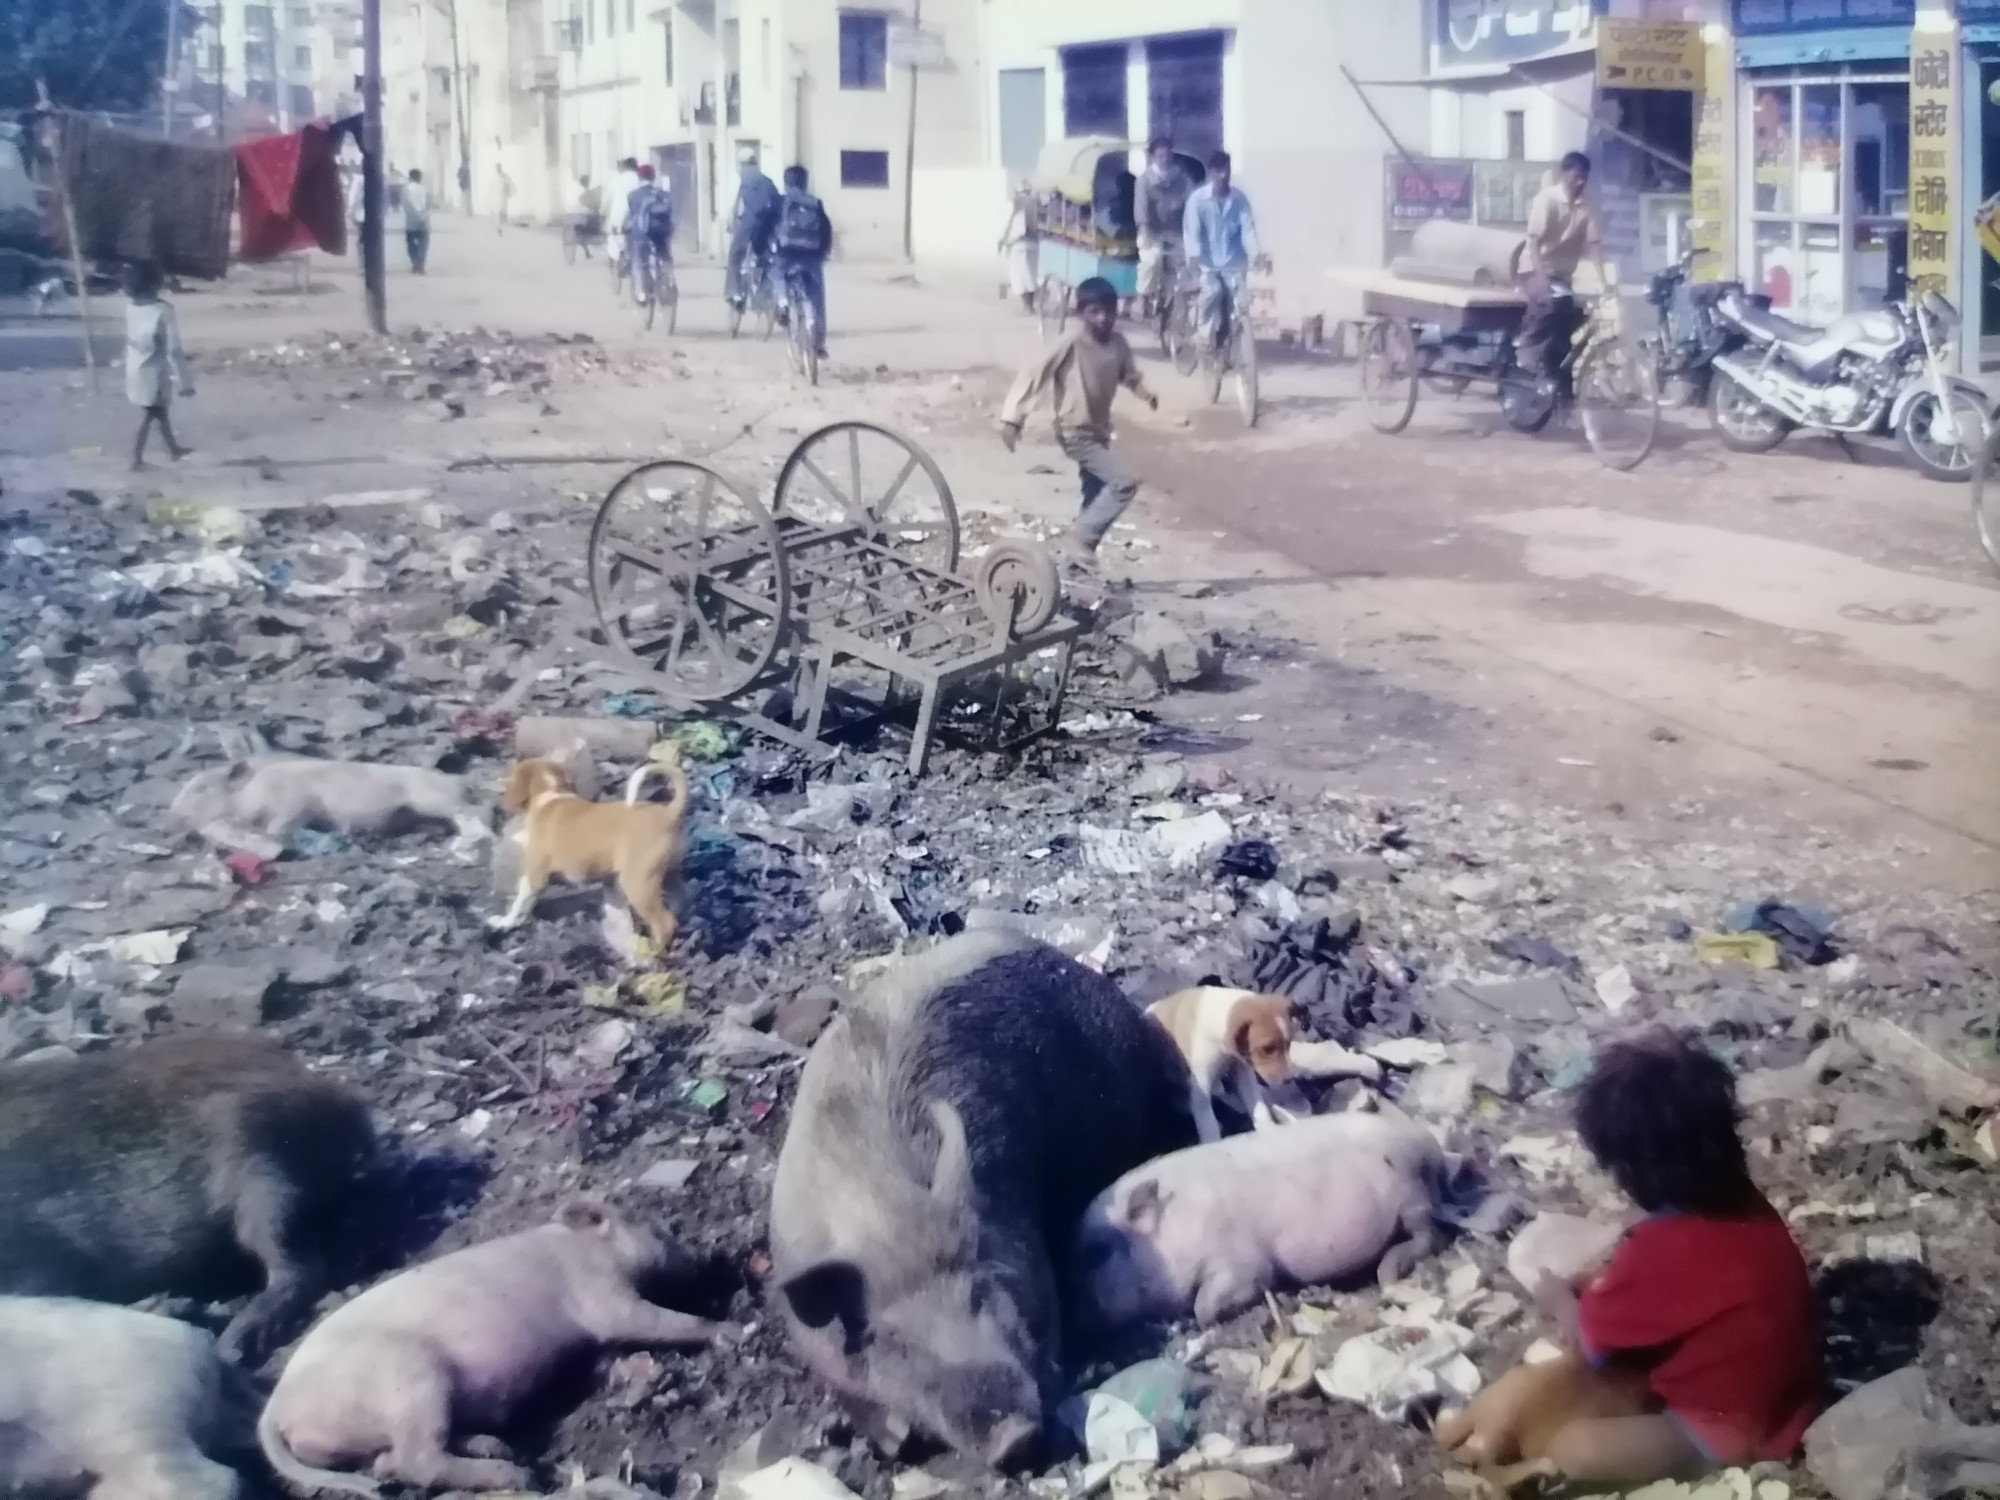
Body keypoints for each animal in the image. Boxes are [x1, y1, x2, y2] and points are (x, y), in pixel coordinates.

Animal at [488, 752, 692, 952]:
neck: (550, 793)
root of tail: (669, 813)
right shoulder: (610, 883)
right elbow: (615, 909)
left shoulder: (535, 876)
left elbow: (520, 903)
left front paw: (505, 922)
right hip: (669, 875)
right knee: (678, 906)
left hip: (638, 884)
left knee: (665, 923)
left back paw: (653, 950)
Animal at [1152, 992, 1384, 1144]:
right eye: (1267, 1048)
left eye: (1288, 1043)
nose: (1288, 1080)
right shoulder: (1200, 1090)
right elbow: (1209, 1123)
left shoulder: (1244, 1074)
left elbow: (1259, 1108)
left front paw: (1269, 1133)